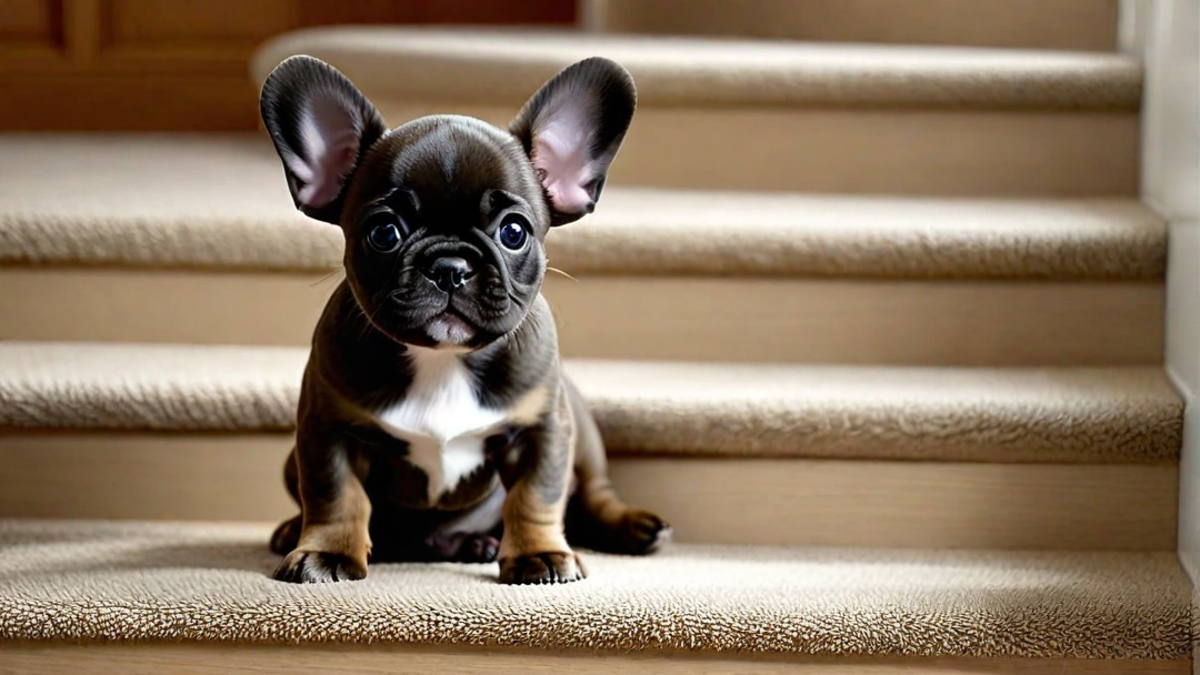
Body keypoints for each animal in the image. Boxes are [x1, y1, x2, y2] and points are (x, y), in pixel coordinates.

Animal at [260, 55, 667, 581]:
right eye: (384, 233)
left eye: (514, 232)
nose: (450, 267)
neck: (443, 359)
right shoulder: (327, 427)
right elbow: (335, 496)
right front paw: (326, 553)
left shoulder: (543, 430)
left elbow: (536, 495)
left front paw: (538, 554)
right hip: (294, 459)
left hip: (581, 430)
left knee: (595, 492)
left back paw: (624, 526)